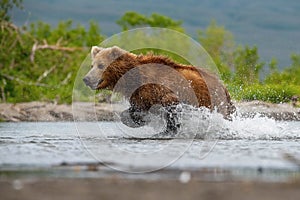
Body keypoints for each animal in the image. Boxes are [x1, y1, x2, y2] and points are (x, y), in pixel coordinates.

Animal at [83, 46, 236, 135]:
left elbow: (171, 107)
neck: (132, 78)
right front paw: (139, 118)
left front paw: (167, 130)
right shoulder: (140, 94)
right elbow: (137, 108)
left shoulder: (161, 88)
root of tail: (222, 85)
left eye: (101, 65)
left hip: (211, 99)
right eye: (92, 65)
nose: (86, 78)